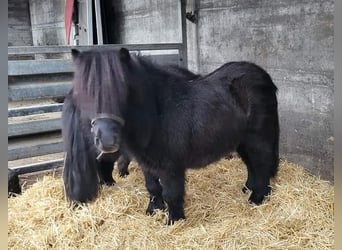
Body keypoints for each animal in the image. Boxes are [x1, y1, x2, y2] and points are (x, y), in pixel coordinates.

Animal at [66, 47, 278, 224]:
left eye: (123, 91)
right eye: (84, 94)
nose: (107, 140)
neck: (157, 113)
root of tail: (263, 76)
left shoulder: (170, 165)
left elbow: (171, 193)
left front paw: (174, 220)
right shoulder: (146, 162)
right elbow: (152, 187)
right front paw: (153, 210)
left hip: (258, 138)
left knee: (262, 164)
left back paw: (257, 198)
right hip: (242, 141)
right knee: (251, 164)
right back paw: (248, 189)